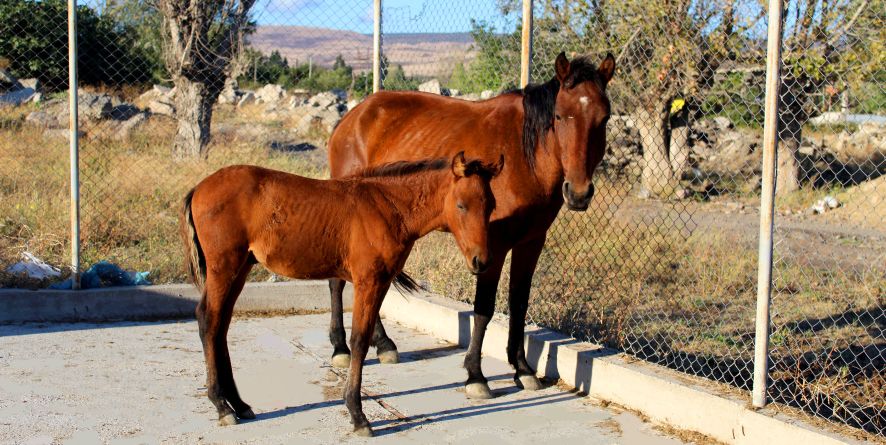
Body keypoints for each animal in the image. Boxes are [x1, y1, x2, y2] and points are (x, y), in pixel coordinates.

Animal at [182, 152, 500, 434]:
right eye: (461, 205)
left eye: (491, 205)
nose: (480, 261)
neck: (388, 208)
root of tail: (199, 188)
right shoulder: (368, 281)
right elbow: (359, 340)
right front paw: (358, 416)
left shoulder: (381, 282)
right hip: (224, 267)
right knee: (208, 320)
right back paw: (222, 406)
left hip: (240, 268)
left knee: (220, 325)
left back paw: (239, 404)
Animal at [328, 52, 616, 398]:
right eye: (559, 116)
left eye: (605, 117)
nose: (578, 193)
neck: (524, 155)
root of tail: (351, 118)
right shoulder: (493, 244)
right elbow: (484, 308)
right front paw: (476, 375)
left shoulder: (531, 242)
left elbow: (519, 303)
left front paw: (522, 369)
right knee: (337, 280)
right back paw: (341, 348)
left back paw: (383, 343)